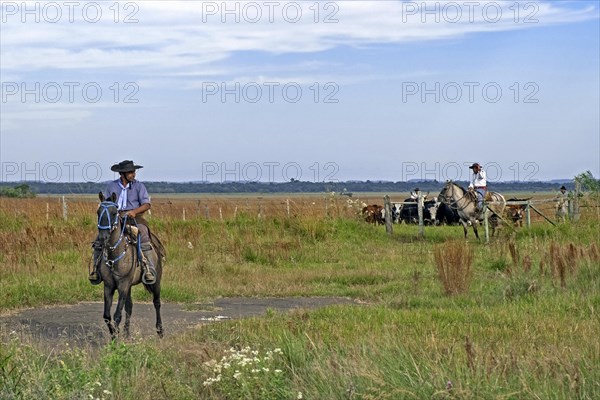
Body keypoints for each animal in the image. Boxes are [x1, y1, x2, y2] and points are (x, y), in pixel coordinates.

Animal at [97, 192, 165, 340]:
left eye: (114, 212)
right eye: (98, 212)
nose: (103, 238)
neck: (114, 256)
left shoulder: (123, 285)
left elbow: (117, 314)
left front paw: (116, 339)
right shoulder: (109, 286)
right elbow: (107, 315)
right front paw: (114, 336)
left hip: (156, 281)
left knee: (157, 303)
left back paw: (160, 331)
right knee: (129, 306)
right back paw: (127, 333)